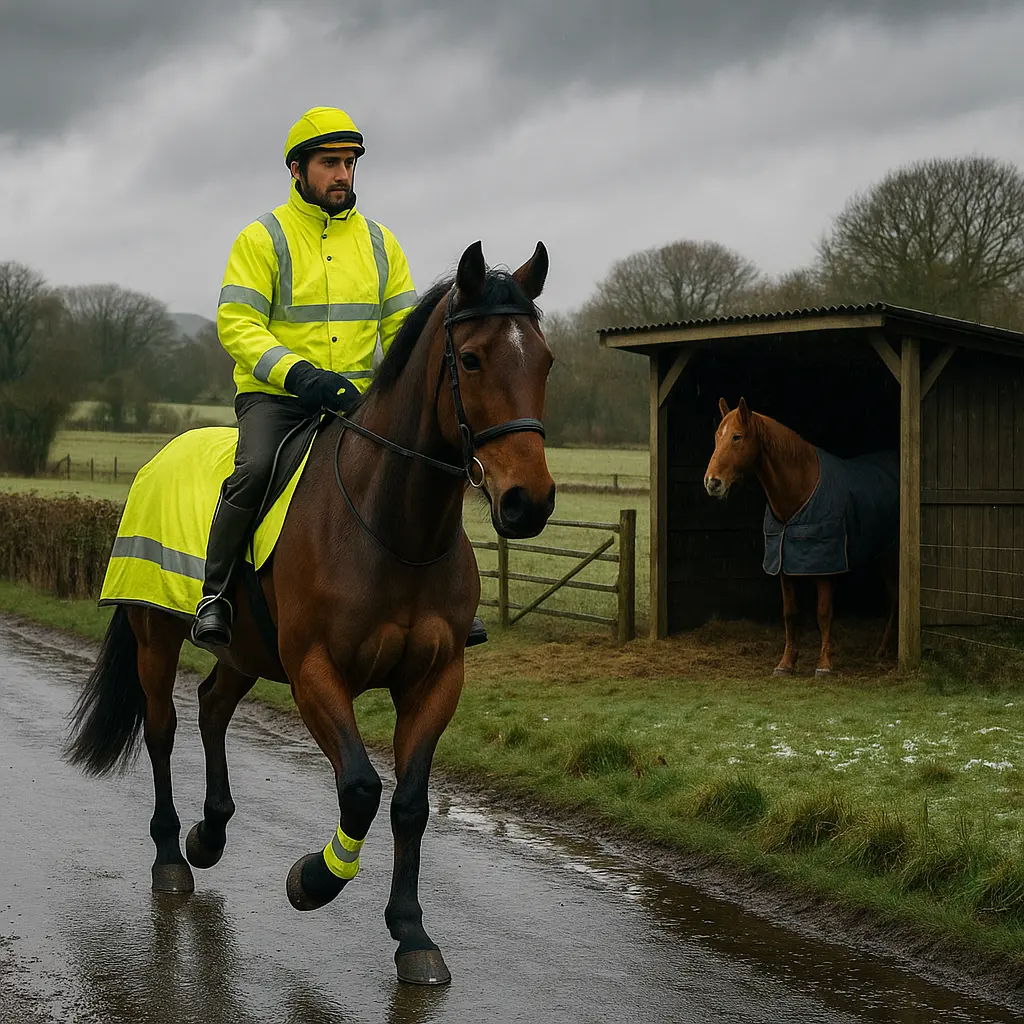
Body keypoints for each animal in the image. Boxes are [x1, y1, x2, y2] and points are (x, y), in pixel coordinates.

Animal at [64, 240, 555, 986]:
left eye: (546, 360)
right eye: (471, 360)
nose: (529, 502)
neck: (393, 529)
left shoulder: (435, 678)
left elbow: (410, 803)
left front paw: (412, 933)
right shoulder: (315, 671)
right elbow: (359, 787)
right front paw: (314, 880)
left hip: (245, 649)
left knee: (212, 706)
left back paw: (211, 834)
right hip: (158, 637)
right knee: (163, 728)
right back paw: (173, 856)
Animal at [704, 398, 898, 677]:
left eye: (737, 437)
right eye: (717, 437)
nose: (712, 482)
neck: (801, 488)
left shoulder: (825, 567)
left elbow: (824, 613)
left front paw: (824, 665)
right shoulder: (784, 564)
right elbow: (790, 613)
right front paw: (786, 663)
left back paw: (884, 649)